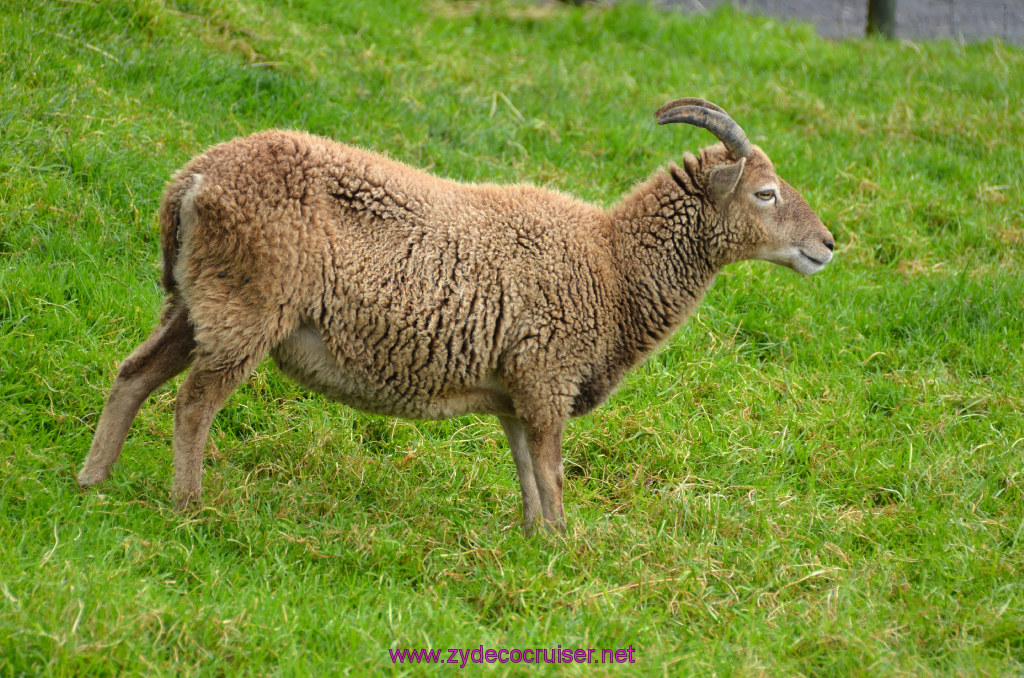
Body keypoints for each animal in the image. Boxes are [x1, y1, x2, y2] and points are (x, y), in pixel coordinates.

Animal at [77, 99, 831, 536]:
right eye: (765, 193)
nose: (827, 245)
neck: (613, 264)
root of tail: (193, 180)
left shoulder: (518, 388)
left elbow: (528, 470)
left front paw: (536, 543)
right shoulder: (548, 374)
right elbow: (553, 471)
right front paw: (565, 551)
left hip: (194, 301)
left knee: (134, 373)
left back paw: (92, 482)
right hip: (246, 308)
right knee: (193, 404)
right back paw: (190, 508)